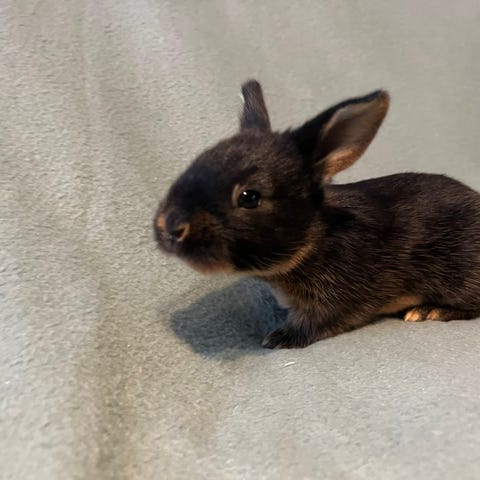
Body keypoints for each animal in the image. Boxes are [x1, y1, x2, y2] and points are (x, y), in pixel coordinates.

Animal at [154, 80, 480, 349]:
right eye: (196, 163)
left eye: (249, 197)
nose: (170, 227)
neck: (317, 237)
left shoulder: (336, 302)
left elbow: (313, 323)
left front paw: (279, 339)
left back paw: (429, 310)